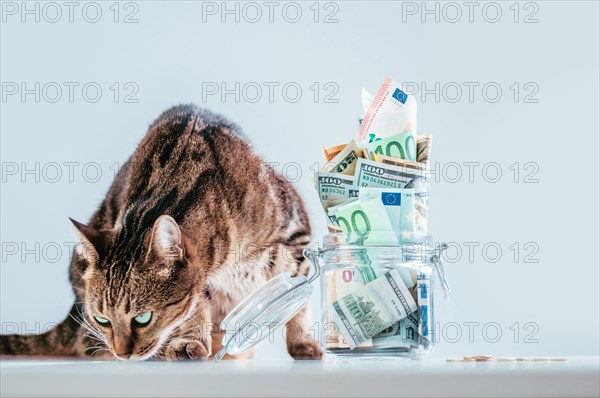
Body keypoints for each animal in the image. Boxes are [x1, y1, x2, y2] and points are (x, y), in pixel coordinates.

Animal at [0, 105, 324, 360]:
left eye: (143, 319)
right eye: (103, 320)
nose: (123, 354)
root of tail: (73, 310)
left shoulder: (296, 237)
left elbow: (299, 301)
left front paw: (303, 343)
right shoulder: (202, 283)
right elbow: (196, 307)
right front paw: (191, 341)